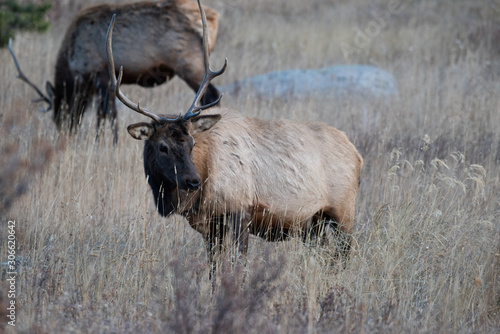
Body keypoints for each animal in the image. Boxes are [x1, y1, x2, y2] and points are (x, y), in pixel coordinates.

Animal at [7, 0, 221, 142]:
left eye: (60, 113)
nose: (65, 135)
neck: (72, 62)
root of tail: (213, 17)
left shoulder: (100, 73)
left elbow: (107, 114)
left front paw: (108, 143)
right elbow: (105, 115)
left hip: (190, 63)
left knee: (212, 95)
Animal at [107, 0, 364, 268]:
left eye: (191, 143)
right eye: (162, 146)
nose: (193, 180)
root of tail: (357, 155)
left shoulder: (240, 210)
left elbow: (238, 264)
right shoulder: (210, 226)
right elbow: (213, 267)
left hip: (344, 211)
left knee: (345, 252)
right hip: (313, 223)